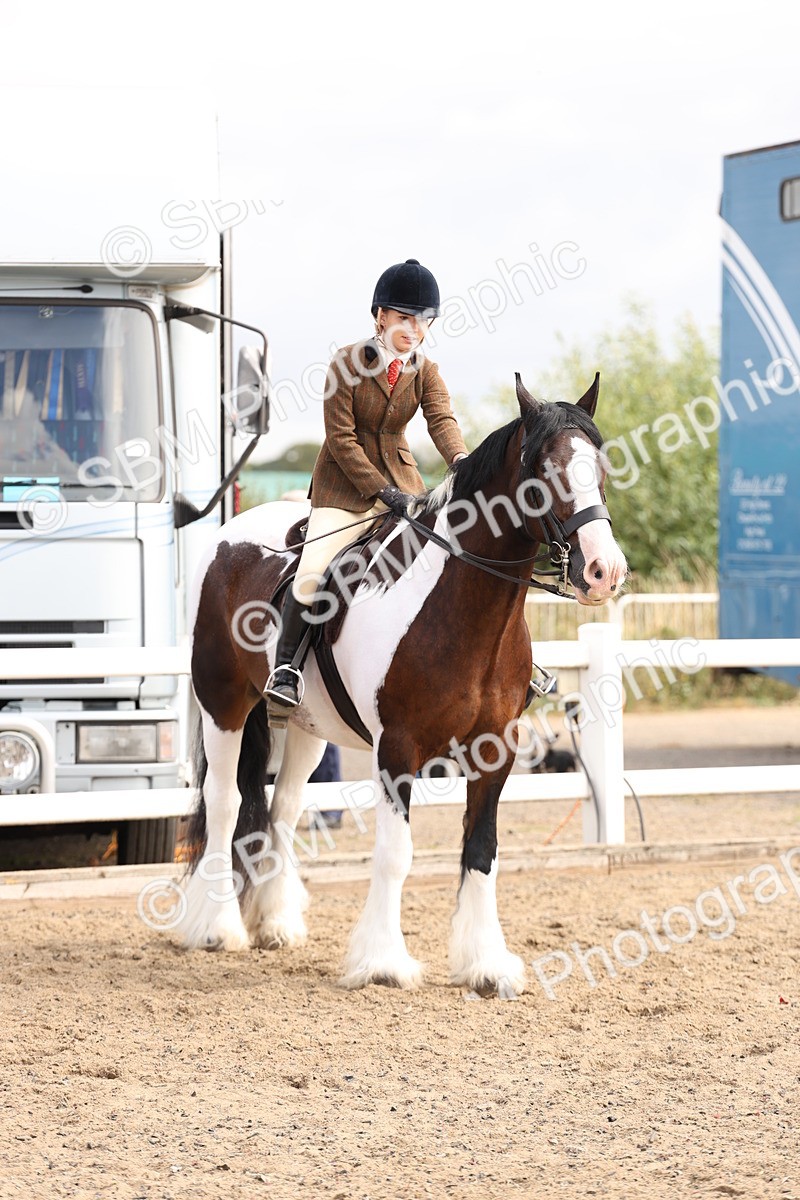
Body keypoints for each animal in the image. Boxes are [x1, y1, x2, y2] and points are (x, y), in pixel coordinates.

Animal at [176, 374, 627, 998]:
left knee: (284, 807)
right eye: (544, 467)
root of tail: (229, 536)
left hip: (306, 726)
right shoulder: (398, 749)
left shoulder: (496, 751)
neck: (459, 609)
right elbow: (395, 854)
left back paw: (276, 923)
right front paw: (384, 962)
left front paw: (486, 965)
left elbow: (482, 850)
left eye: (599, 464)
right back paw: (218, 927)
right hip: (223, 704)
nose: (604, 572)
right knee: (224, 802)